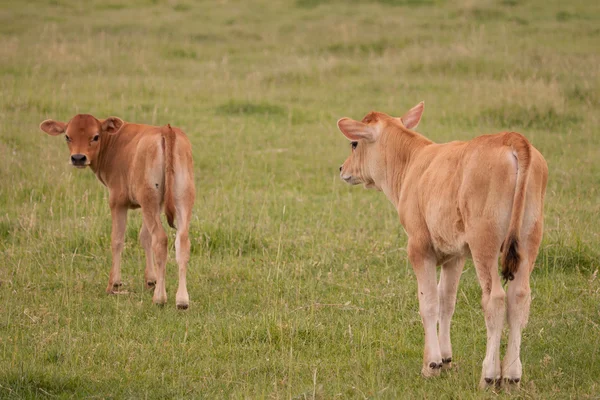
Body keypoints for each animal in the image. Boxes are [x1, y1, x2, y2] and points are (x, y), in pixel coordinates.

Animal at [39, 115, 195, 310]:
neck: (115, 143)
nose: (78, 157)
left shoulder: (117, 201)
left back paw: (160, 298)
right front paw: (151, 280)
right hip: (180, 198)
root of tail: (166, 130)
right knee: (182, 242)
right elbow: (145, 237)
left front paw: (114, 284)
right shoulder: (155, 205)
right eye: (67, 136)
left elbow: (117, 240)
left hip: (149, 198)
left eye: (95, 136)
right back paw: (182, 300)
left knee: (160, 239)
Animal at [338, 103, 548, 388]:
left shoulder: (419, 247)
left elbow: (428, 302)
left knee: (495, 299)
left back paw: (490, 374)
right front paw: (447, 358)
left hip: (484, 241)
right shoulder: (455, 255)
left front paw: (432, 363)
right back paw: (512, 375)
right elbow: (447, 300)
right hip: (529, 237)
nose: (342, 168)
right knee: (519, 297)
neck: (412, 162)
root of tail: (512, 138)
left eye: (354, 143)